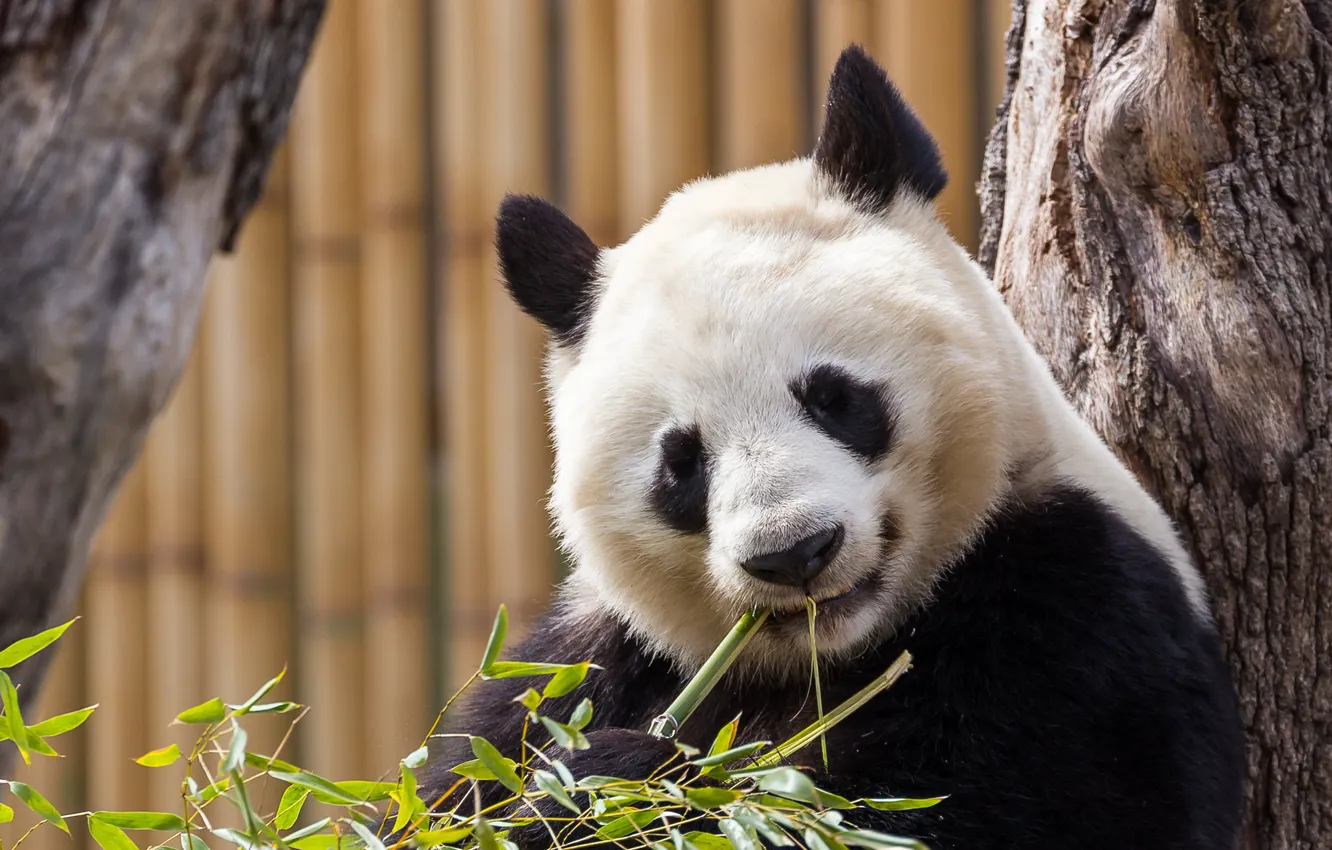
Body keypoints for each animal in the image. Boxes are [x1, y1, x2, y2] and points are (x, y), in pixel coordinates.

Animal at [413, 46, 1244, 850]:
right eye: (681, 463)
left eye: (834, 399)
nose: (793, 553)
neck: (835, 653)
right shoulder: (582, 660)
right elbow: (457, 785)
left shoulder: (1076, 605)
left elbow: (998, 807)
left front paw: (620, 783)